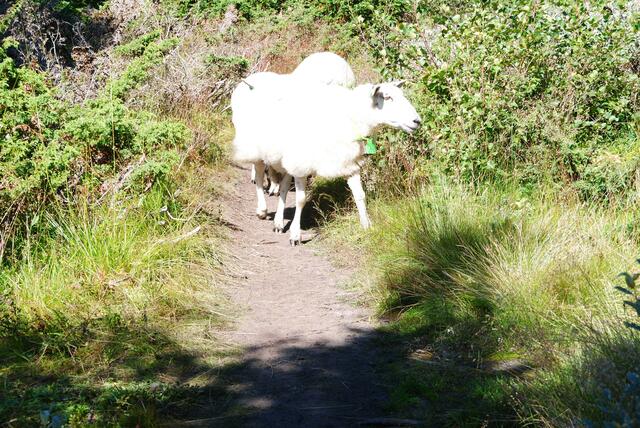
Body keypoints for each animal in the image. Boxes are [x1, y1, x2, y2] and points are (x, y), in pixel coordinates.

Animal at [231, 76, 421, 245]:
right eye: (387, 97)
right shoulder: (302, 164)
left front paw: (366, 226)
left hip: (286, 160)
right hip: (256, 150)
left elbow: (360, 195)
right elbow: (300, 200)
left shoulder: (350, 164)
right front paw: (295, 235)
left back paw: (278, 222)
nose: (417, 121)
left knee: (284, 187)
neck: (350, 119)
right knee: (259, 177)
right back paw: (262, 210)